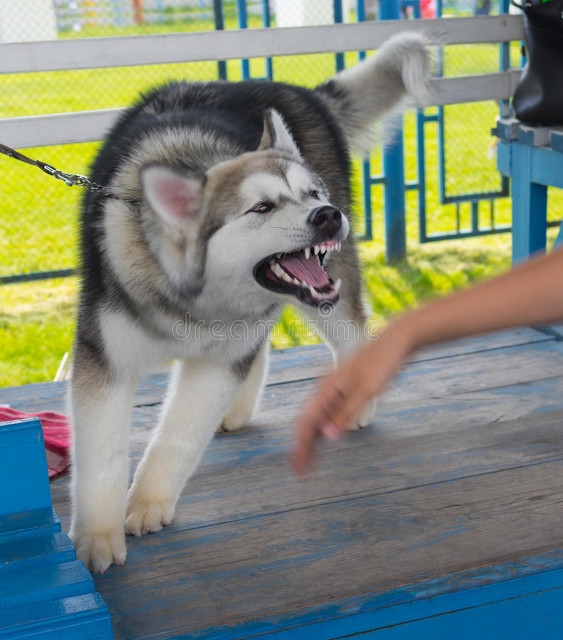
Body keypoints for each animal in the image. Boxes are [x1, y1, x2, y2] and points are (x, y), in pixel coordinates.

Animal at [69, 31, 432, 576]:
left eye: (311, 194)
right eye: (261, 207)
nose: (329, 214)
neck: (195, 300)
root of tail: (298, 89)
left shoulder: (217, 362)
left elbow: (179, 434)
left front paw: (149, 501)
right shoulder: (105, 360)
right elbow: (101, 454)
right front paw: (97, 536)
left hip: (332, 288)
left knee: (348, 332)